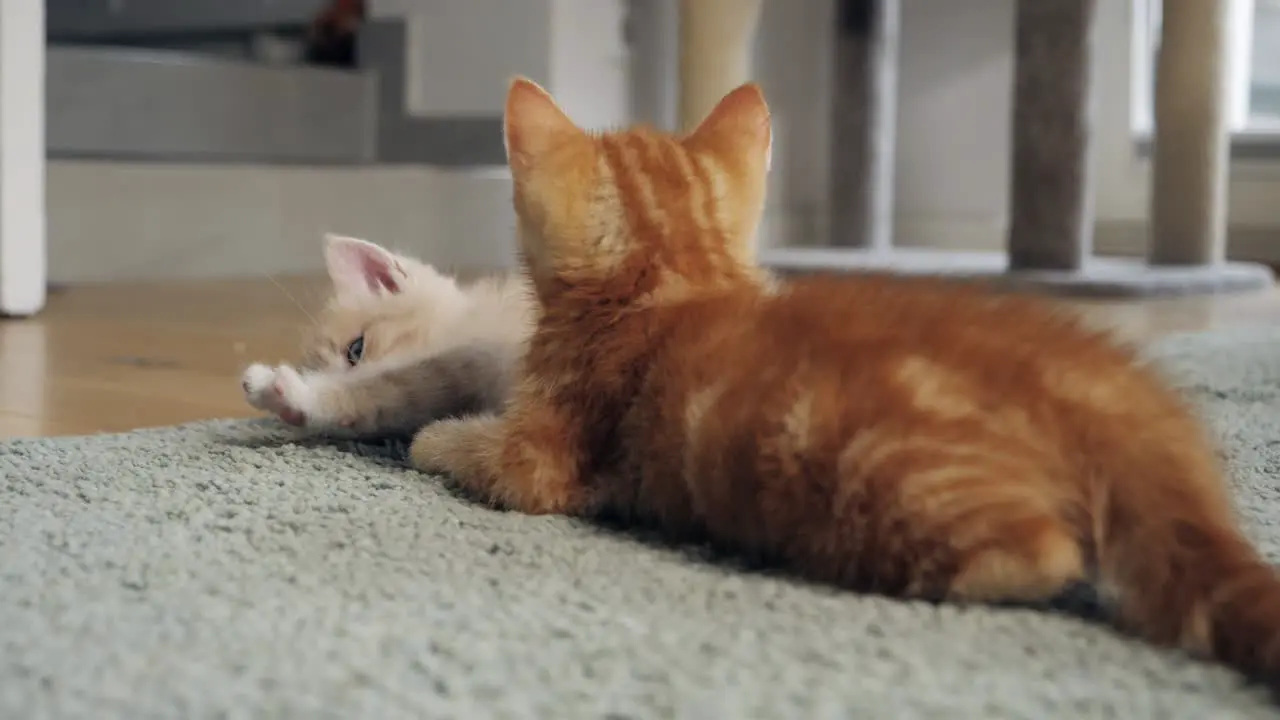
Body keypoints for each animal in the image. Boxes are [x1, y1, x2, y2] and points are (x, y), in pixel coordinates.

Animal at [409, 77, 1280, 681]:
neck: (674, 276)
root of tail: (1106, 387)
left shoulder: (544, 459)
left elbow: (480, 453)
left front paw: (431, 438)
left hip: (888, 473)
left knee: (1039, 551)